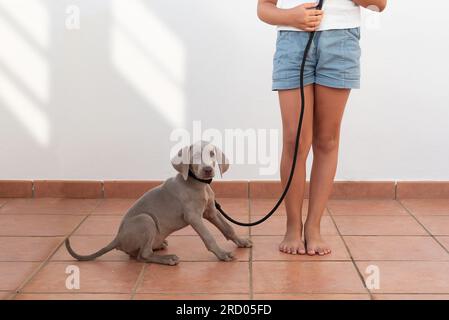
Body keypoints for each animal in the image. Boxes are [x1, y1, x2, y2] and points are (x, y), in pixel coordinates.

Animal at [65, 141, 250, 266]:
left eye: (212, 154)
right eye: (195, 156)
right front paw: (222, 254)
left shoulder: (211, 211)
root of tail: (117, 239)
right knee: (143, 255)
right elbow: (208, 237)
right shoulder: (193, 217)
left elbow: (228, 227)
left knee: (138, 253)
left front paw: (241, 242)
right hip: (145, 220)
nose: (207, 170)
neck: (199, 185)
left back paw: (160, 245)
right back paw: (168, 259)